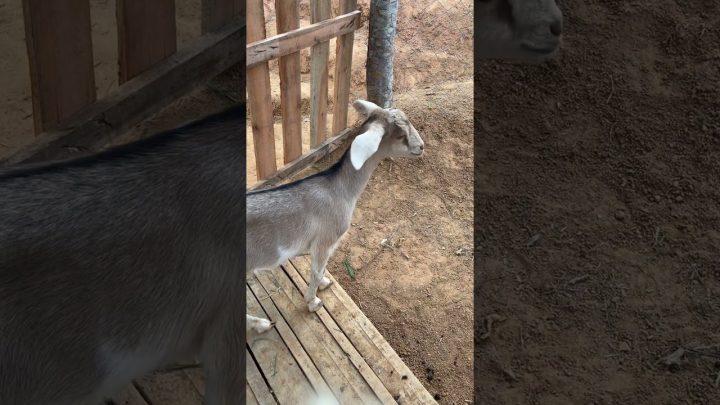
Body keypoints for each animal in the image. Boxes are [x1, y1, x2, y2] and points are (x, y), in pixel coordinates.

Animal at [248, 98, 424, 332]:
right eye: (399, 134)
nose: (421, 147)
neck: (338, 189)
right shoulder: (325, 242)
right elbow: (316, 270)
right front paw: (313, 301)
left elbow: (320, 271)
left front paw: (324, 283)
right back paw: (261, 324)